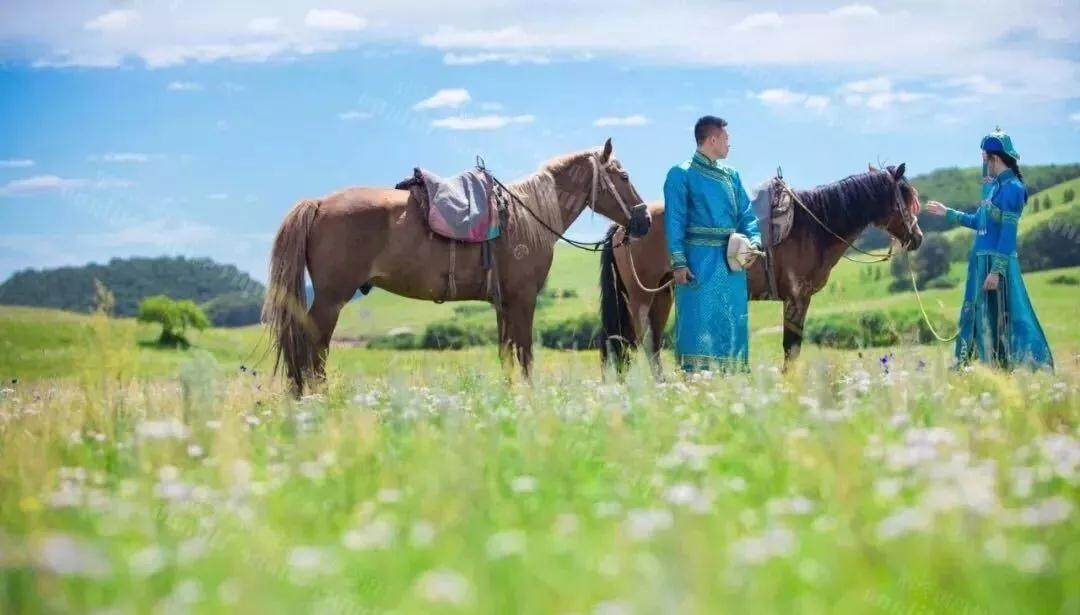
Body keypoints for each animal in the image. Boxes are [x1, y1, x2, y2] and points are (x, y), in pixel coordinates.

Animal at [262, 139, 652, 391]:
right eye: (624, 177)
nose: (645, 219)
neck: (528, 215)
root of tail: (318, 203)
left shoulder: (503, 304)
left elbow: (507, 355)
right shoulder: (523, 300)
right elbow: (525, 354)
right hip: (331, 299)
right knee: (313, 347)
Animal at [600, 163, 920, 371]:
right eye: (906, 199)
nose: (917, 237)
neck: (814, 226)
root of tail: (624, 227)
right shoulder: (797, 298)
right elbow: (791, 348)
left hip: (661, 296)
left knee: (647, 345)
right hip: (641, 298)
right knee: (643, 343)